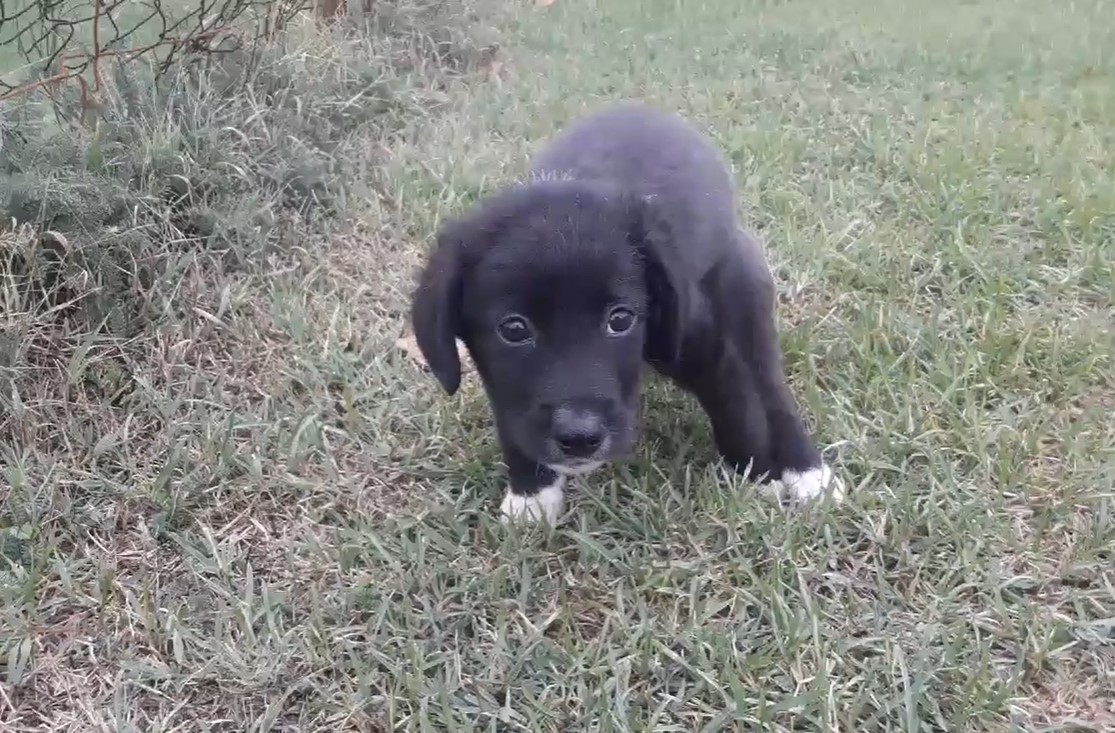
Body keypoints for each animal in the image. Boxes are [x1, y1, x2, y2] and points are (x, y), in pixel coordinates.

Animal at [410, 104, 842, 526]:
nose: (580, 438)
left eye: (620, 319)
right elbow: (511, 422)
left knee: (770, 388)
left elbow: (736, 406)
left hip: (745, 296)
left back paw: (808, 471)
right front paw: (531, 493)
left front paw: (758, 475)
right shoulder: (502, 381)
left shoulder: (705, 347)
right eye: (514, 329)